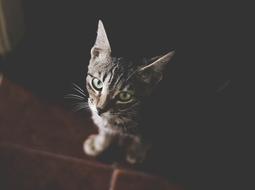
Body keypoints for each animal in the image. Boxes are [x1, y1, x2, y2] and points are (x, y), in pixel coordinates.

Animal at [84, 20, 174, 164]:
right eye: (97, 83)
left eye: (125, 96)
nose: (100, 109)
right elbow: (105, 131)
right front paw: (99, 144)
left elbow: (144, 139)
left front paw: (136, 152)